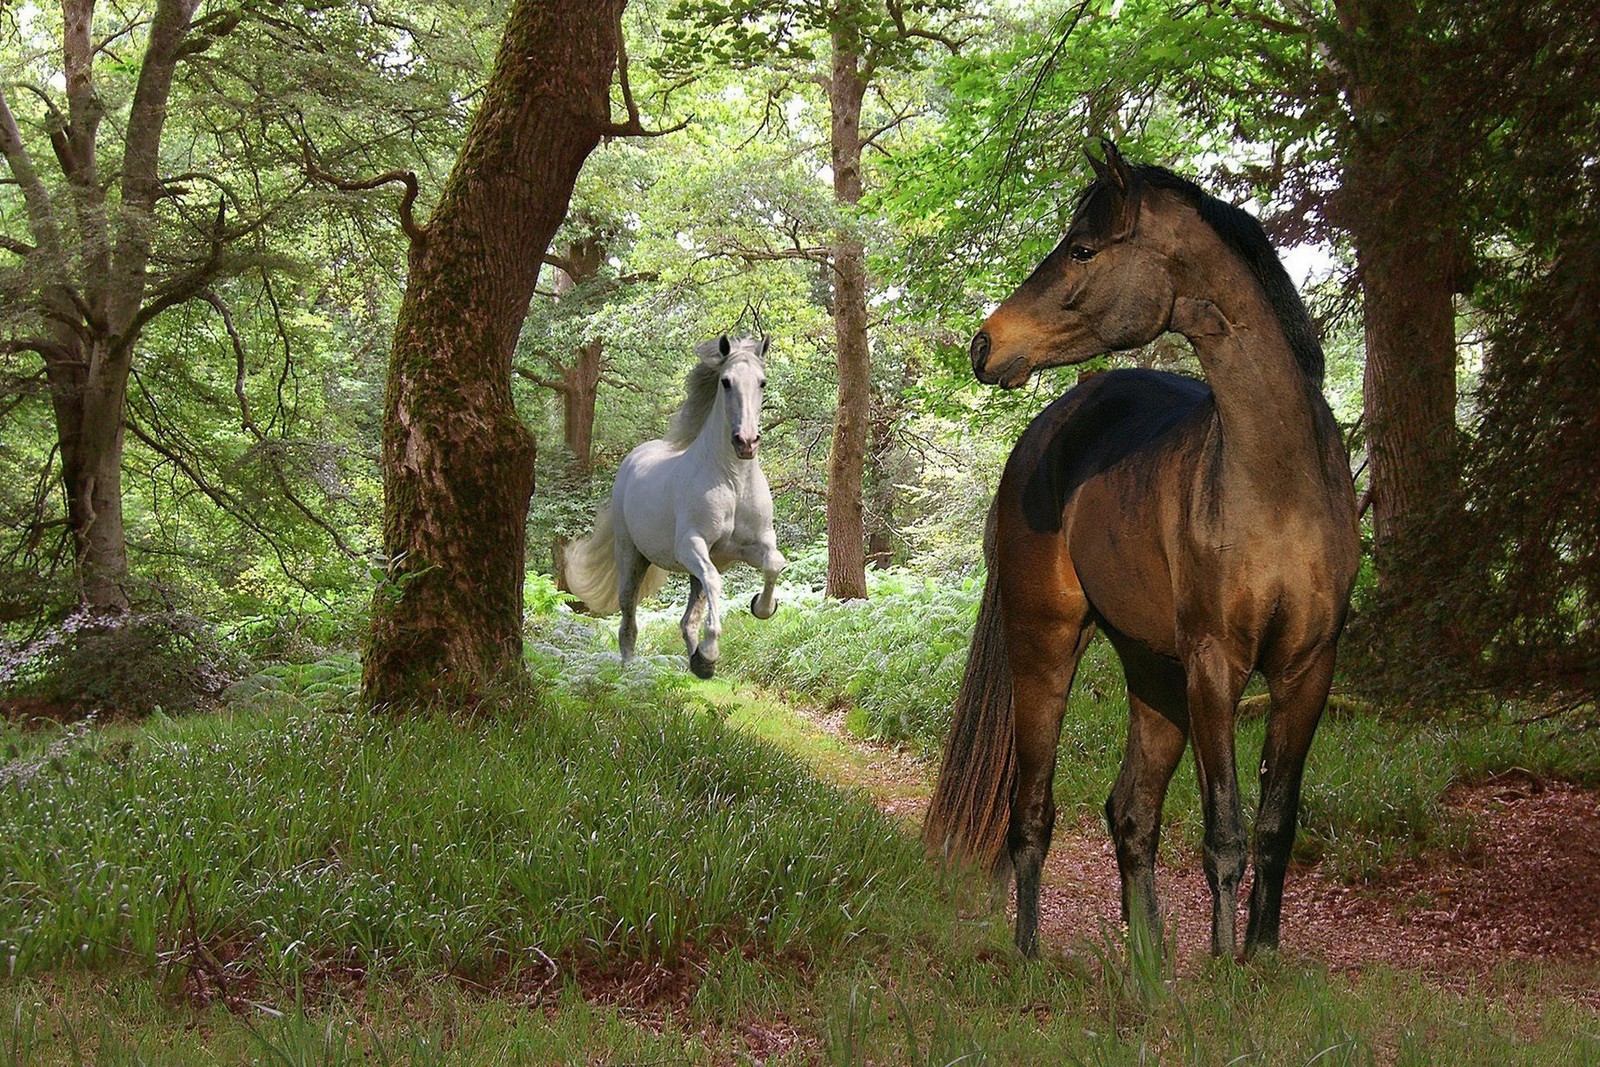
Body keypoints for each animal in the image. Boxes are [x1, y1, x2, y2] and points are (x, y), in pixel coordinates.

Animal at [563, 337, 787, 681]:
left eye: (762, 382)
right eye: (726, 382)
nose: (746, 442)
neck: (733, 481)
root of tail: (633, 459)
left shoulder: (752, 545)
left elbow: (774, 564)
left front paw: (761, 608)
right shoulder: (690, 545)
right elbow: (716, 582)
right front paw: (710, 654)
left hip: (693, 566)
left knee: (688, 617)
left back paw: (696, 661)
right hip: (631, 556)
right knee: (628, 620)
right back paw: (631, 674)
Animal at [928, 143, 1363, 959]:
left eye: (1083, 248)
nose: (985, 343)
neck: (1280, 482)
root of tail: (1045, 433)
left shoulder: (1308, 669)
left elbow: (1274, 827)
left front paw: (1259, 957)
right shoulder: (1217, 666)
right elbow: (1224, 833)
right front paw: (1224, 967)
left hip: (1152, 668)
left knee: (1130, 813)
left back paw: (1149, 960)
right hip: (1046, 647)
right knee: (1031, 810)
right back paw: (1029, 953)